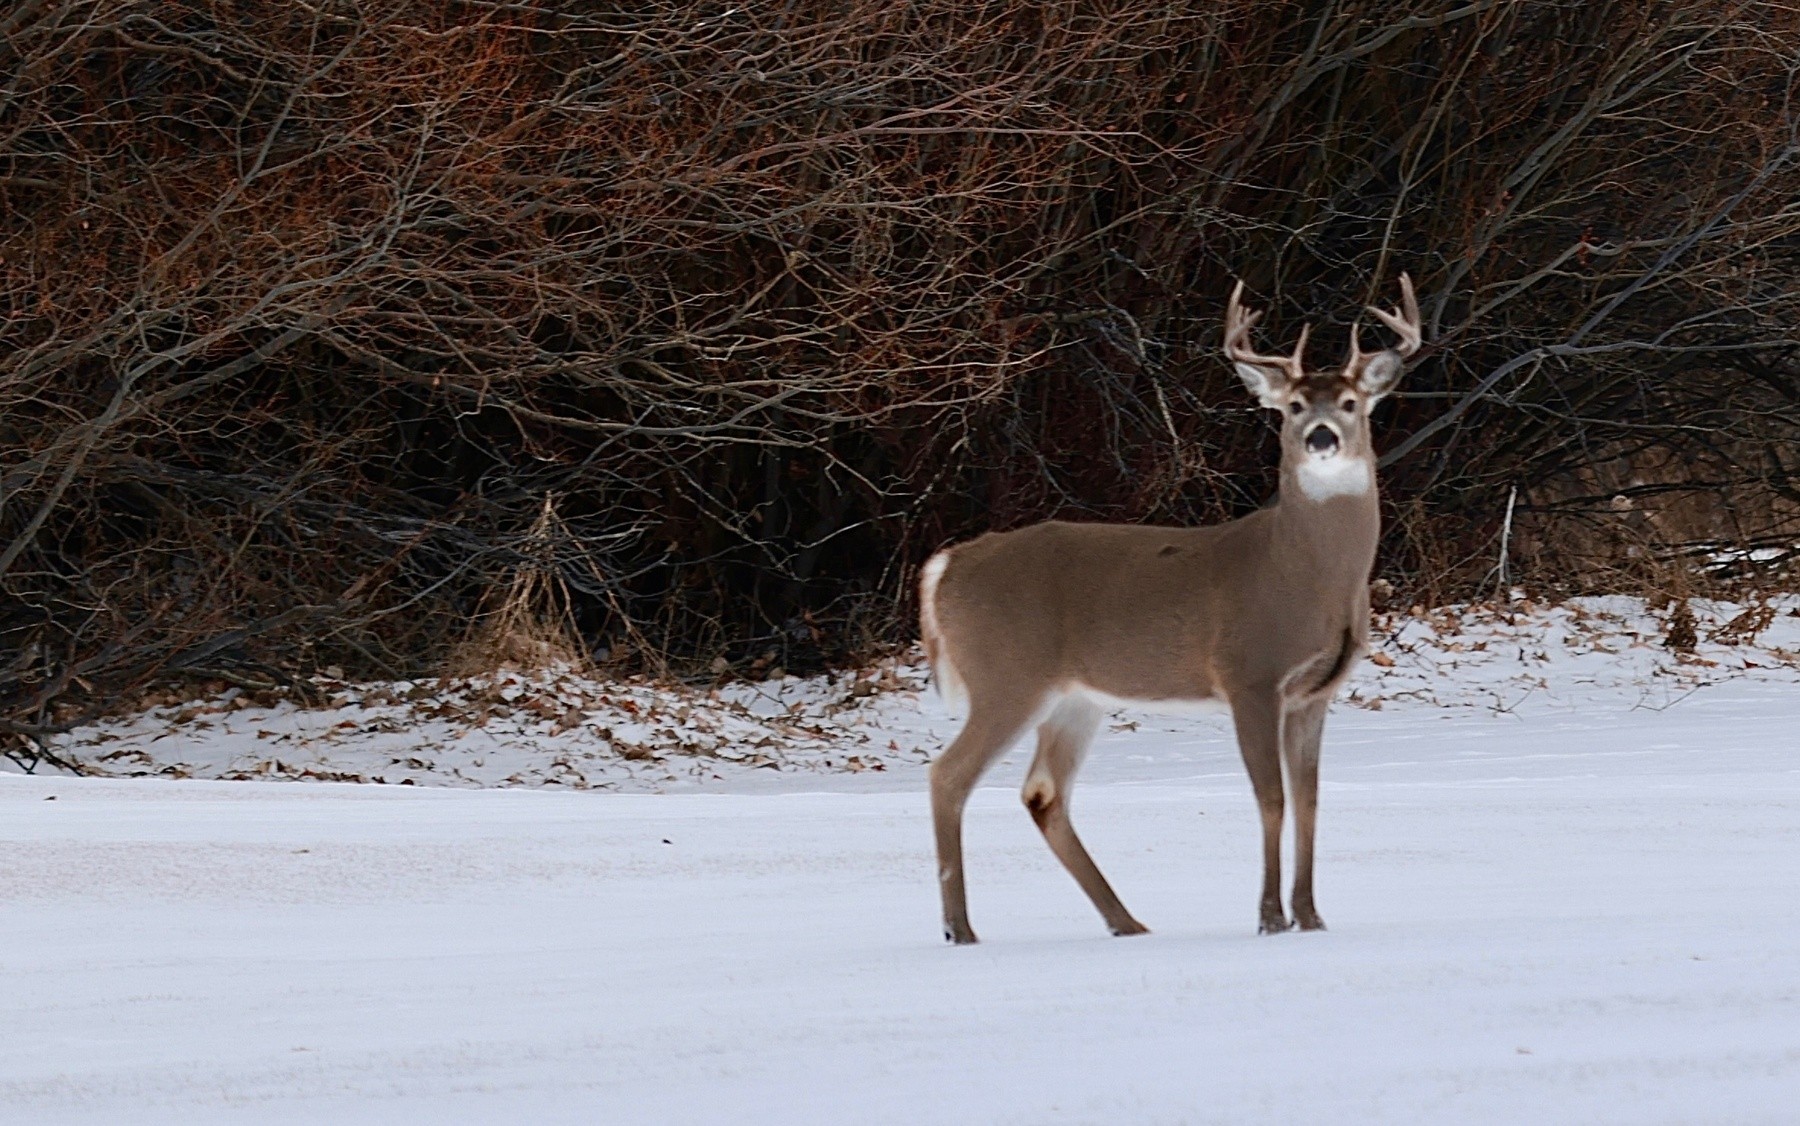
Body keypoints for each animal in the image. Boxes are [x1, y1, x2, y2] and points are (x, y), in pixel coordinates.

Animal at [917, 275, 1422, 944]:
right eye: (1291, 406)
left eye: (1349, 402)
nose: (1321, 437)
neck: (1305, 576)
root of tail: (945, 566)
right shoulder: (1249, 674)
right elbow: (1271, 798)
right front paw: (1270, 917)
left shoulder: (1315, 692)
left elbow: (1309, 800)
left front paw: (1312, 916)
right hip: (1007, 675)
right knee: (948, 776)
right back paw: (961, 929)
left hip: (1074, 698)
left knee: (1043, 793)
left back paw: (1127, 922)